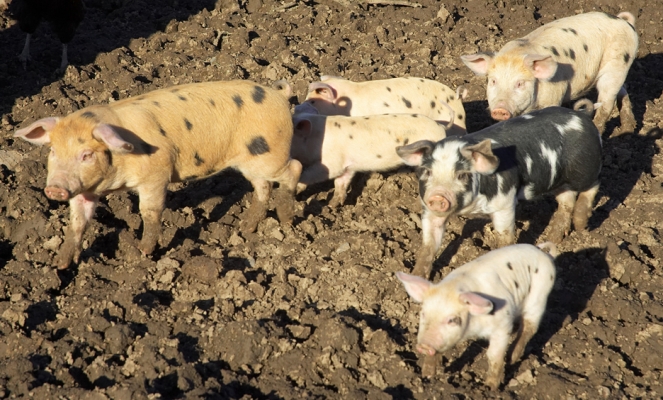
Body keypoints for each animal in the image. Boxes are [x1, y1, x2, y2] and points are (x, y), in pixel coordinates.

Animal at [14, 80, 302, 269]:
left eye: (86, 154)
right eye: (52, 150)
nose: (55, 189)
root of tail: (279, 94)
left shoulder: (156, 176)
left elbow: (149, 213)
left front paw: (143, 252)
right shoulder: (83, 190)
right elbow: (77, 222)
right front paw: (61, 264)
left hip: (271, 154)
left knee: (294, 168)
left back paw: (286, 221)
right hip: (253, 161)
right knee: (263, 186)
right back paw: (247, 227)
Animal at [291, 103, 450, 206]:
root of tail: (441, 126)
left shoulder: (332, 163)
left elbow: (310, 174)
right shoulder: (348, 167)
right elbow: (341, 183)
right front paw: (333, 205)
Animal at [396, 102, 601, 279]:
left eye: (462, 175)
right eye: (427, 172)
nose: (438, 196)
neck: (472, 209)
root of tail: (582, 116)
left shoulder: (505, 203)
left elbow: (504, 237)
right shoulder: (430, 212)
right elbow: (429, 245)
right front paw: (415, 277)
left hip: (586, 170)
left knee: (594, 184)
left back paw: (582, 225)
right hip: (560, 182)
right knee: (566, 200)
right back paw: (554, 238)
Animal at [397, 242, 557, 390]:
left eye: (452, 320)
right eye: (423, 313)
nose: (424, 346)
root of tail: (541, 251)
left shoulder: (503, 325)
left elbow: (494, 356)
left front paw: (490, 387)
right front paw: (427, 376)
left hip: (538, 298)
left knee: (529, 327)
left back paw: (512, 358)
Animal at [461, 11, 638, 134]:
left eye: (520, 83)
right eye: (493, 81)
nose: (499, 109)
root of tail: (625, 22)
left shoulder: (555, 94)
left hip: (616, 67)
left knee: (606, 104)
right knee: (623, 91)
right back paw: (628, 130)